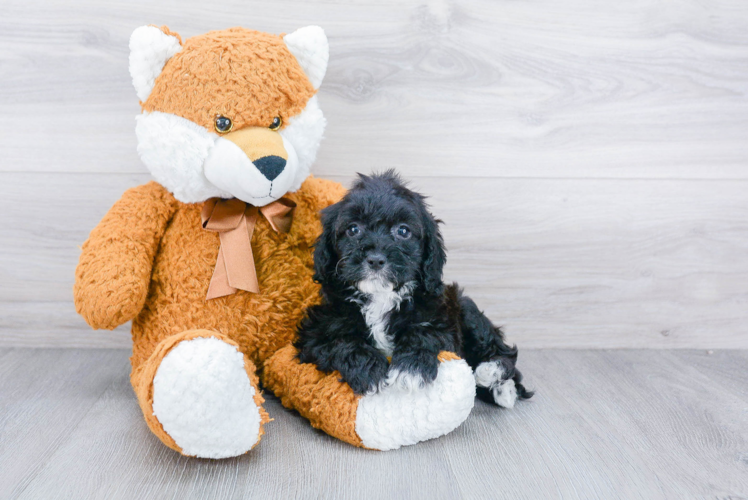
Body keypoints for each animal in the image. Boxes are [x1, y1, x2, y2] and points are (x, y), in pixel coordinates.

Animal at [294, 170, 532, 408]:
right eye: (353, 229)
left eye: (403, 231)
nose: (375, 259)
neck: (381, 296)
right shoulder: (315, 332)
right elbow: (342, 340)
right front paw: (371, 372)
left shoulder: (441, 320)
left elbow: (423, 332)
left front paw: (410, 369)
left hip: (466, 308)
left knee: (501, 351)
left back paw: (496, 377)